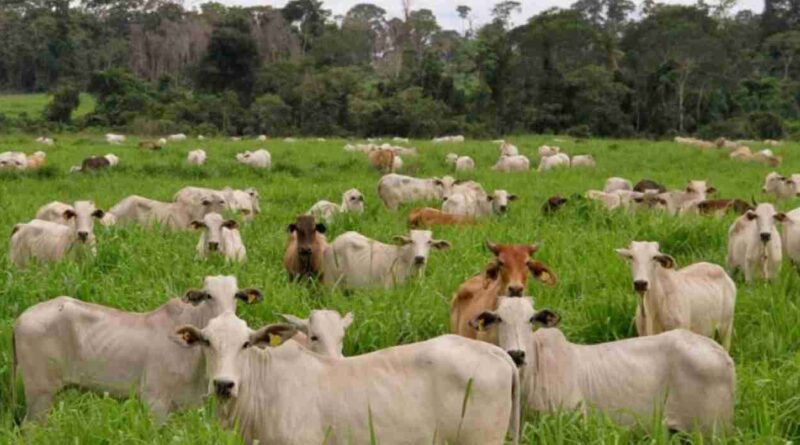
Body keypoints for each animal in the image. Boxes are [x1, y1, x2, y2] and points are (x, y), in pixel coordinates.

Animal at [13, 274, 262, 424]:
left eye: (237, 295)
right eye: (208, 295)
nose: (227, 316)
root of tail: (20, 318)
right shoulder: (155, 401)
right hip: (40, 394)